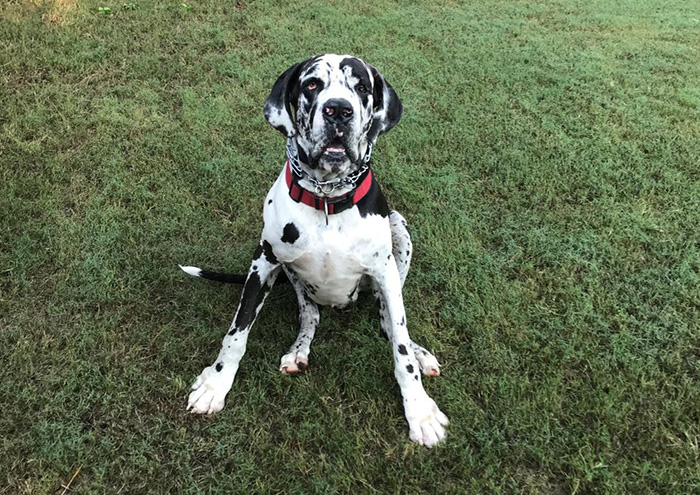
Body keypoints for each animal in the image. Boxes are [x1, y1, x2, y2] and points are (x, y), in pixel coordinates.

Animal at [182, 55, 448, 450]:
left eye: (361, 87)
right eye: (311, 84)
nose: (338, 110)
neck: (327, 198)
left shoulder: (384, 272)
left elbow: (400, 348)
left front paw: (420, 411)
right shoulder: (263, 263)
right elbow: (236, 332)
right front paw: (216, 384)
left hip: (398, 230)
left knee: (387, 322)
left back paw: (421, 352)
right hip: (293, 278)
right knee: (311, 316)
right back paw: (299, 350)